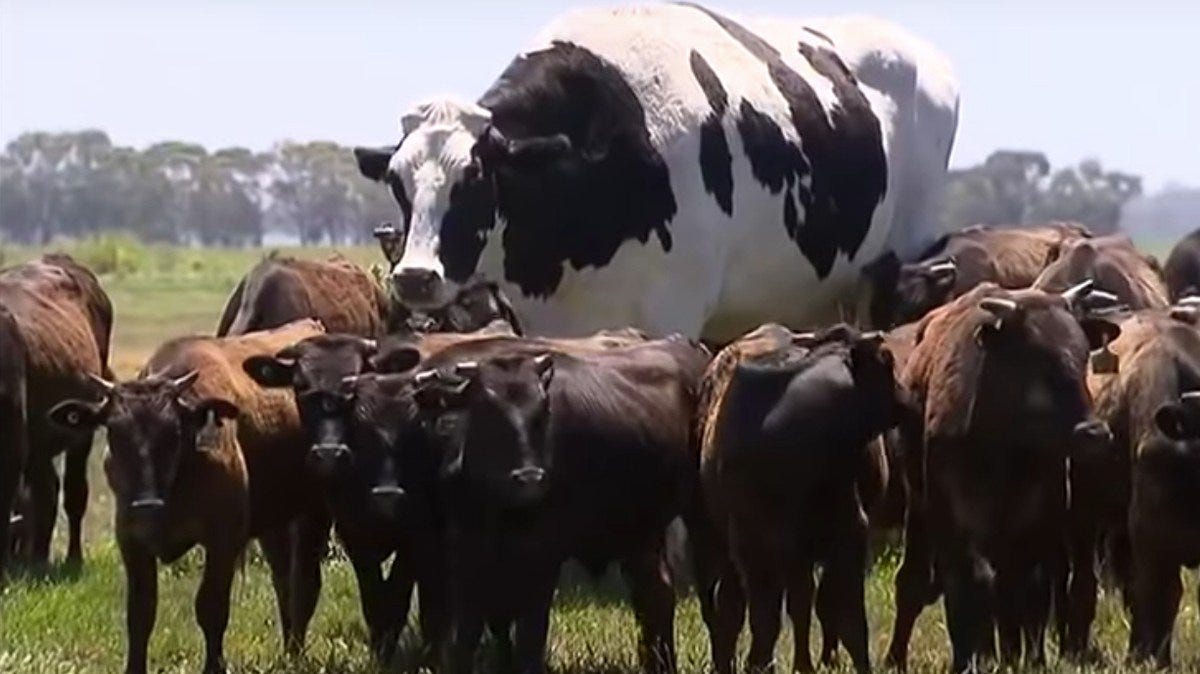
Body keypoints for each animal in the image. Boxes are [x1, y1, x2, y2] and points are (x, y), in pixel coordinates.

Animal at [0, 253, 113, 568]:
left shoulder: (13, 447)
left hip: (81, 433)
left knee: (74, 495)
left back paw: (73, 558)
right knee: (46, 493)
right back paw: (38, 557)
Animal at [46, 319, 326, 674]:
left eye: (173, 432)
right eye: (113, 432)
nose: (146, 506)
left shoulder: (223, 539)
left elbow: (211, 607)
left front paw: (214, 666)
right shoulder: (132, 540)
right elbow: (140, 613)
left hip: (314, 513)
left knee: (304, 582)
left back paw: (296, 652)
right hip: (274, 520)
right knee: (283, 580)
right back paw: (289, 650)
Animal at [697, 323, 899, 674]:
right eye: (887, 362)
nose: (903, 399)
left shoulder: (843, 534)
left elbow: (834, 610)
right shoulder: (768, 545)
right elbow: (786, 611)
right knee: (745, 608)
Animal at [886, 282, 1121, 673]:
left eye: (1083, 357)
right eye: (1040, 362)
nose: (1095, 433)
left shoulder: (1036, 522)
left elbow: (1031, 591)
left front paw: (1027, 659)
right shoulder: (954, 522)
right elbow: (969, 587)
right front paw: (969, 660)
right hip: (918, 511)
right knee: (914, 582)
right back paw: (898, 657)